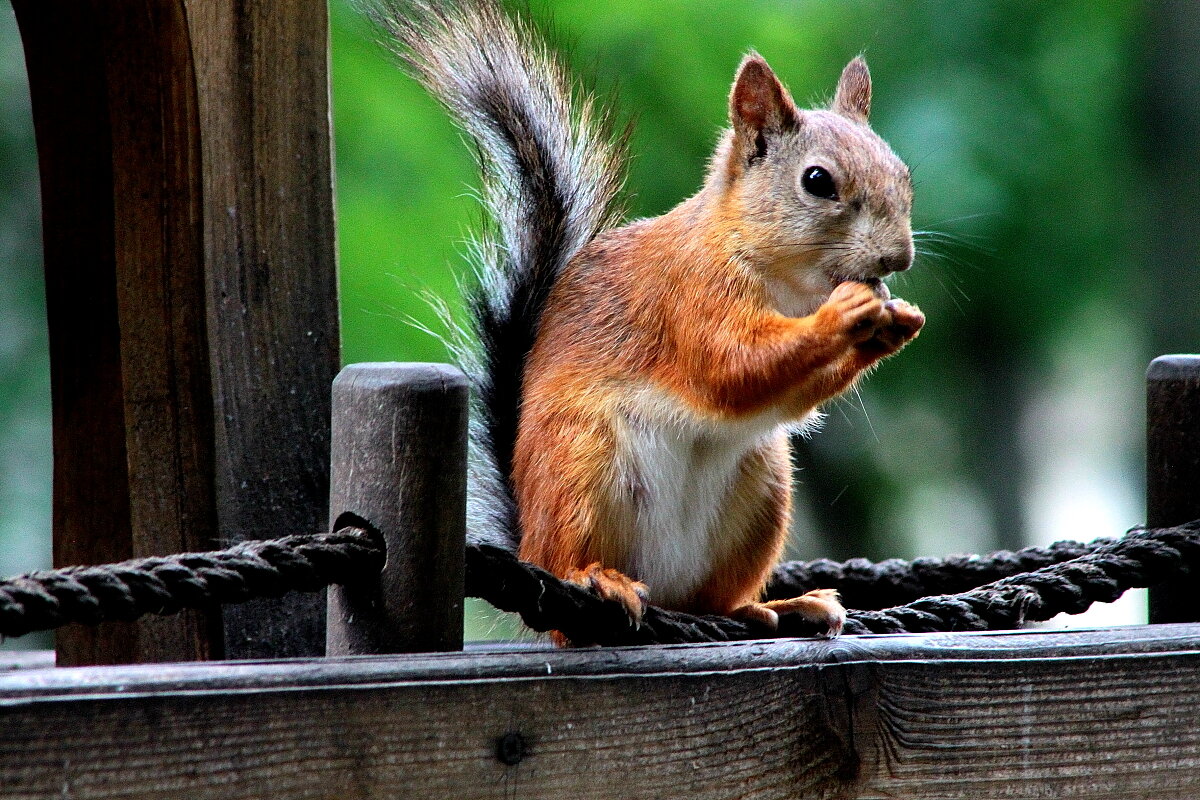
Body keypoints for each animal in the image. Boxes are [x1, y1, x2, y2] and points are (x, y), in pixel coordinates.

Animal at [369, 0, 921, 638]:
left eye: (903, 176)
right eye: (817, 181)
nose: (898, 259)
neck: (788, 281)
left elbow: (784, 396)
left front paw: (897, 321)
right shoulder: (690, 298)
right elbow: (732, 366)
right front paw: (848, 312)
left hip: (763, 487)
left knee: (711, 602)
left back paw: (781, 607)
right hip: (581, 464)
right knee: (571, 565)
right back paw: (598, 581)